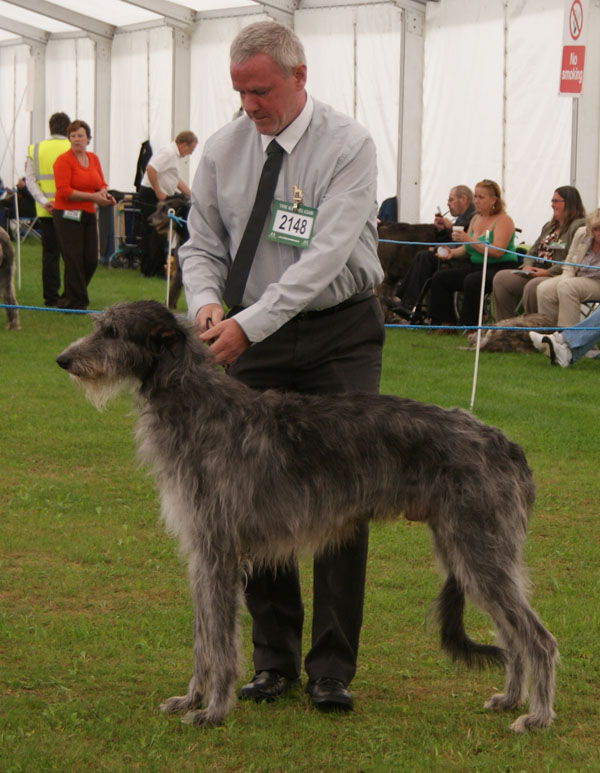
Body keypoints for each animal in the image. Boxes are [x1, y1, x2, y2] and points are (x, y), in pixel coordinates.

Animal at [56, 300, 556, 728]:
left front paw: (213, 710)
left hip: (480, 549)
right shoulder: (201, 554)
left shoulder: (219, 553)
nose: (62, 360)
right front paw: (190, 698)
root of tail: (507, 445)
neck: (197, 407)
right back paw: (510, 698)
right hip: (468, 551)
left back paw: (536, 717)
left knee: (538, 639)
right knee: (513, 636)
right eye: (99, 324)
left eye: (112, 331)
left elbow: (221, 643)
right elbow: (203, 639)